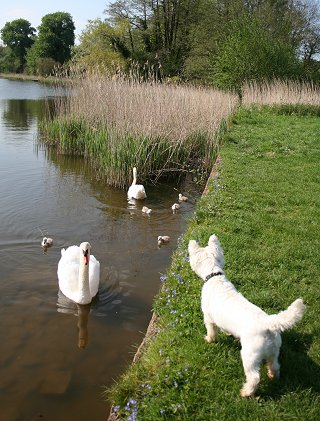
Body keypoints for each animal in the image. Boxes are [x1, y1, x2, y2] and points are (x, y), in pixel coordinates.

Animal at [189, 235, 306, 396]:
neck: (214, 276)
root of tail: (268, 323)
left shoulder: (208, 318)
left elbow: (211, 331)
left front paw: (209, 339)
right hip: (274, 350)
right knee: (275, 366)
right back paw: (273, 377)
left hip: (250, 355)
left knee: (254, 377)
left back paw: (246, 392)